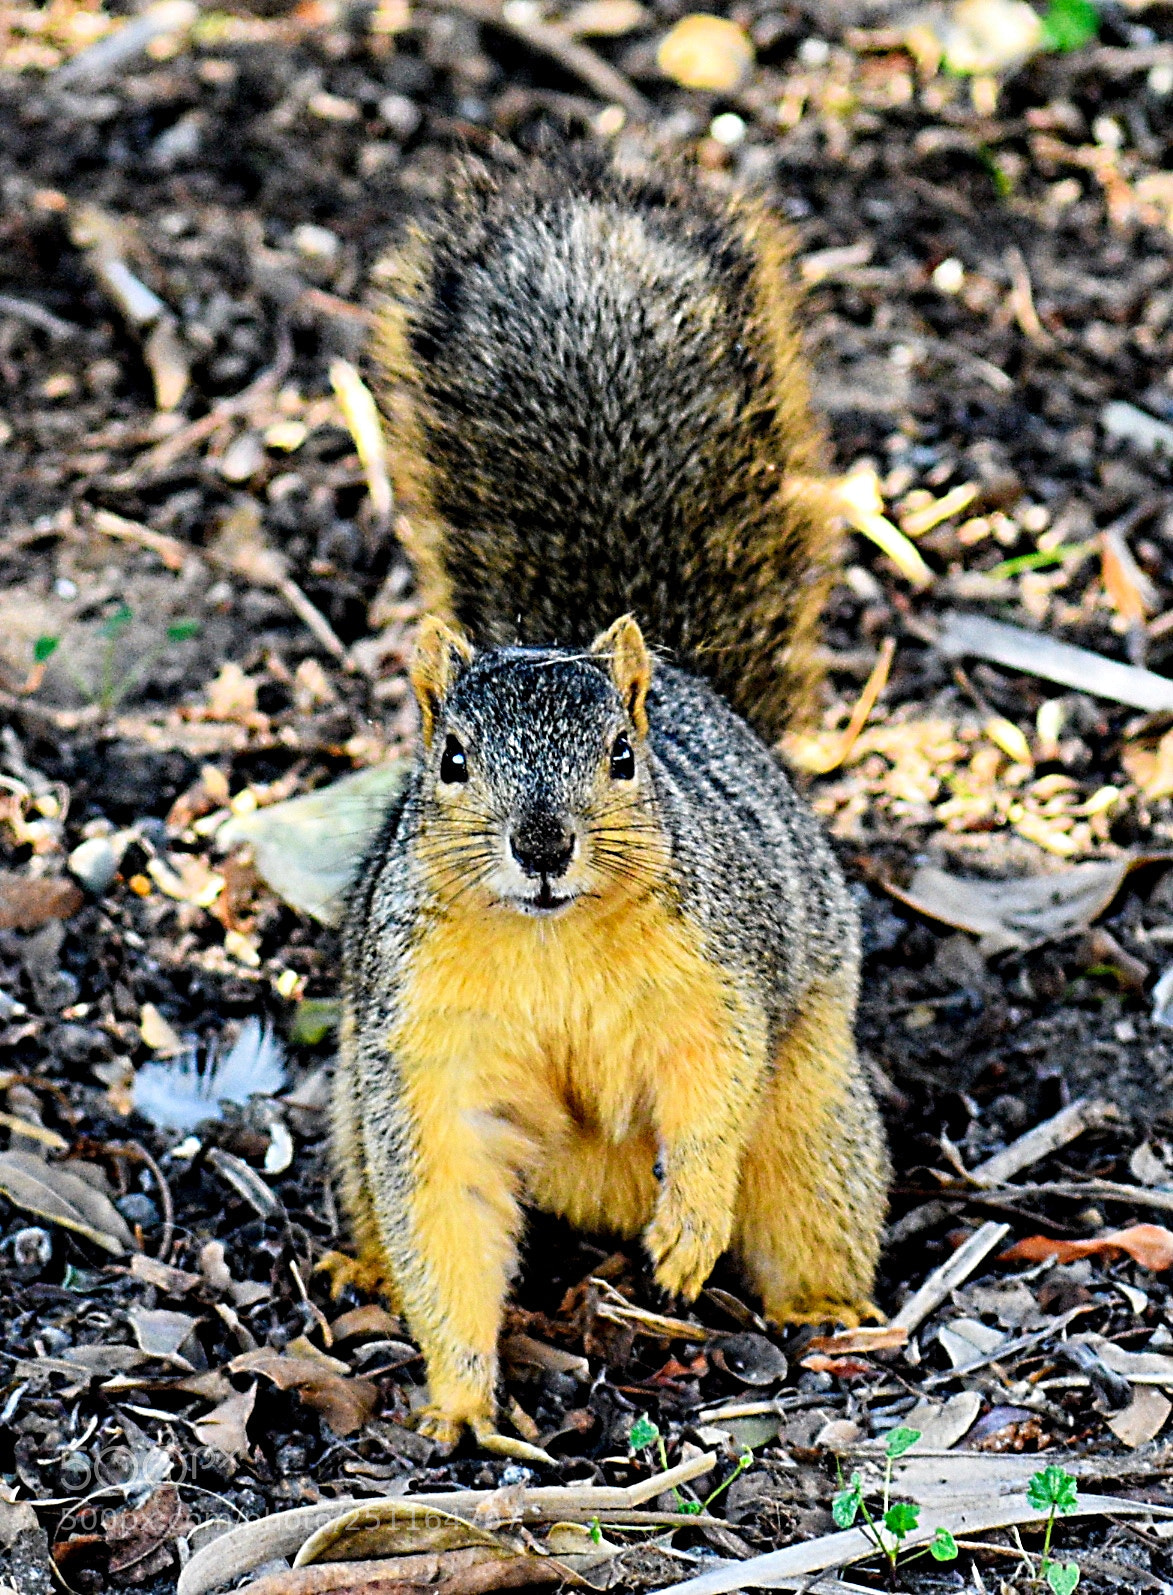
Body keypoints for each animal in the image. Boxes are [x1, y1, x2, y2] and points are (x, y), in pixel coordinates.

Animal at [327, 152, 890, 1451]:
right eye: (451, 760)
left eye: (623, 755)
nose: (542, 844)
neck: (550, 944)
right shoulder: (421, 1051)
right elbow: (443, 1195)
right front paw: (463, 1400)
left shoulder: (716, 975)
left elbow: (714, 1087)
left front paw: (687, 1230)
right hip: (346, 1117)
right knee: (384, 1205)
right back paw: (362, 1272)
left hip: (815, 1119)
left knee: (801, 1182)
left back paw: (830, 1311)